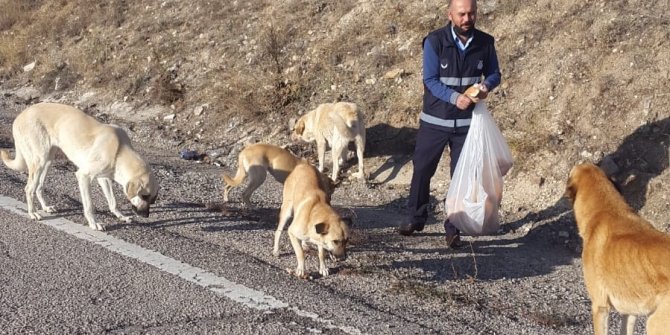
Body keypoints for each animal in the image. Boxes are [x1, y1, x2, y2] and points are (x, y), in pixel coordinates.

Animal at [0, 102, 159, 231]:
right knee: (29, 189)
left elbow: (112, 201)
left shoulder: (104, 179)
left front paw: (120, 216)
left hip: (48, 161)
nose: (146, 216)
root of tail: (19, 117)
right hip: (39, 161)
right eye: (144, 196)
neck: (120, 151)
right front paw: (93, 224)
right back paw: (32, 212)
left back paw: (45, 207)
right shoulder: (84, 176)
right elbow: (89, 205)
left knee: (38, 187)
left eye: (152, 199)